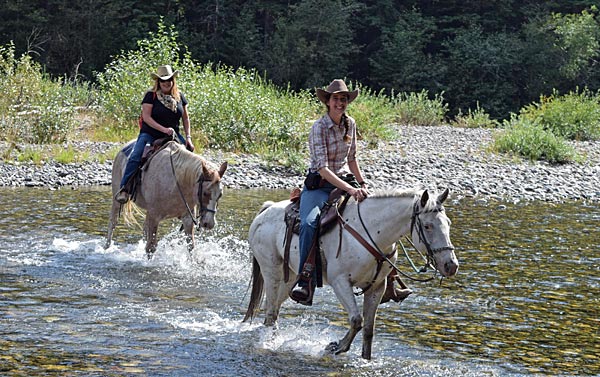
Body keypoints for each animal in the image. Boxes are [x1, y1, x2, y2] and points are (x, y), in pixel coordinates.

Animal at [244, 187, 460, 358]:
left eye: (449, 223)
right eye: (427, 226)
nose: (451, 265)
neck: (371, 232)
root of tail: (266, 210)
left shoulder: (377, 287)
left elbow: (368, 329)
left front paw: (365, 360)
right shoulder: (340, 282)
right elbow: (356, 320)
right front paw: (336, 346)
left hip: (289, 276)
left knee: (273, 309)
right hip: (271, 271)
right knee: (271, 311)